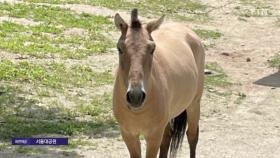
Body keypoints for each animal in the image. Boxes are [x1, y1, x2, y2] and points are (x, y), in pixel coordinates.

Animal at [112, 8, 206, 158]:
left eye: (152, 49)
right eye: (119, 48)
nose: (135, 96)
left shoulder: (154, 136)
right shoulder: (129, 135)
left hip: (194, 105)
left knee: (192, 136)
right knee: (167, 138)